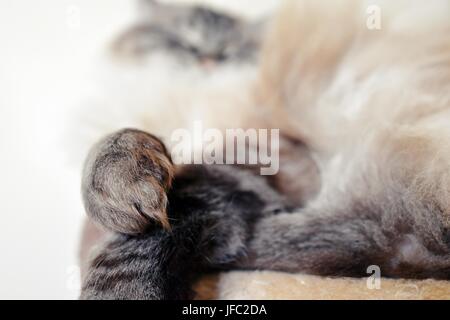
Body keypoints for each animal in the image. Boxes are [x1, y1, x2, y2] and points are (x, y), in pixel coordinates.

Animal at [79, 0, 448, 300]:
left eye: (232, 49)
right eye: (182, 42)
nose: (208, 60)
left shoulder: (272, 156)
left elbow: (145, 235)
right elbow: (113, 145)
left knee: (383, 239)